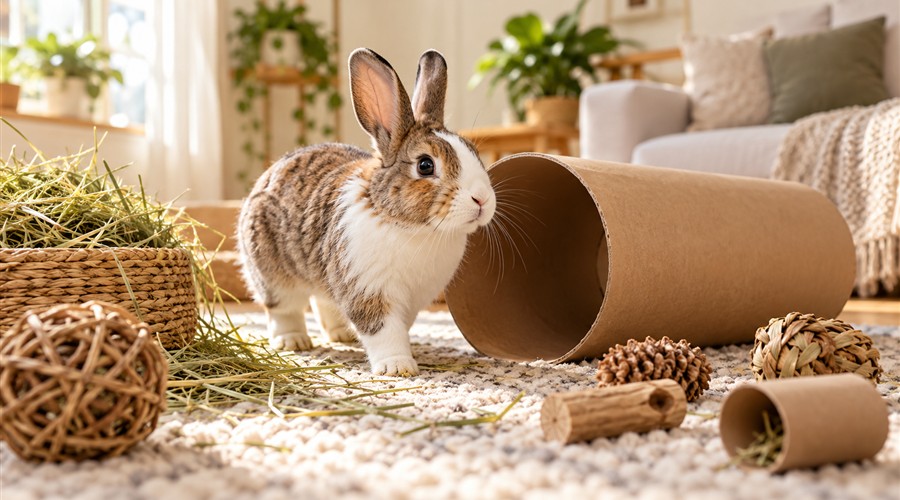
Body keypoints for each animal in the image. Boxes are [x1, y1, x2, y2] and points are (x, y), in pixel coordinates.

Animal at [237, 48, 496, 376]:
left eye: (473, 152)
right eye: (425, 165)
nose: (482, 200)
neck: (408, 226)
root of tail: (267, 175)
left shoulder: (410, 300)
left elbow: (399, 327)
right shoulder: (368, 292)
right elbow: (383, 331)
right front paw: (398, 367)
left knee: (323, 302)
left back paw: (342, 335)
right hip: (273, 275)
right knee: (284, 309)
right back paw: (294, 341)